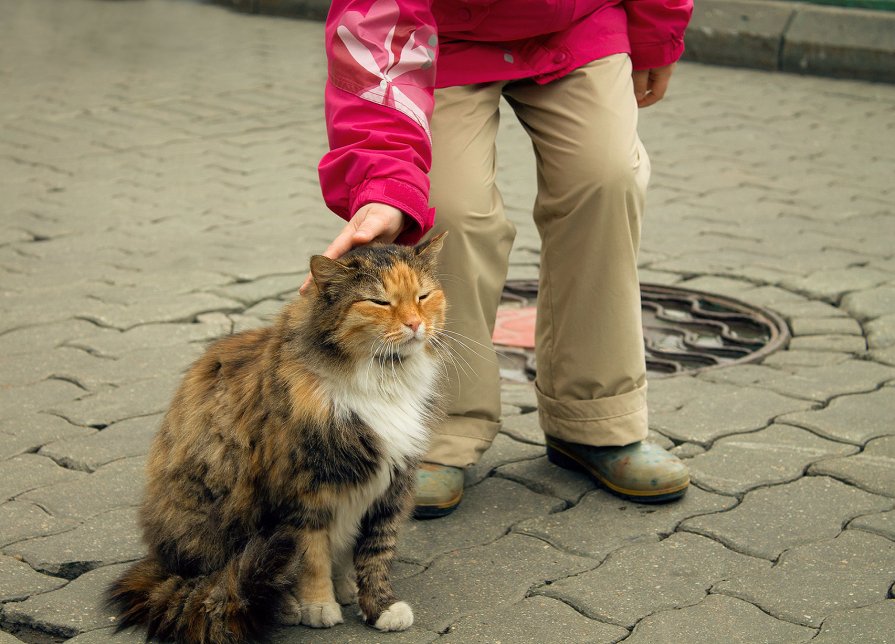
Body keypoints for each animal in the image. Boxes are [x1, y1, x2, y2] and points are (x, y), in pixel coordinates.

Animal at [106, 235, 448, 644]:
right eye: (380, 302)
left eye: (423, 296)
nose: (415, 324)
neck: (381, 380)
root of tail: (165, 564)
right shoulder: (305, 493)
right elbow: (312, 559)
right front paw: (318, 605)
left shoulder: (390, 489)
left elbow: (375, 556)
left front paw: (379, 606)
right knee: (235, 579)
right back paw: (286, 604)